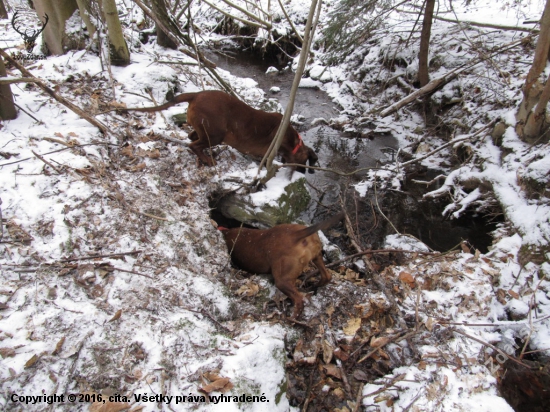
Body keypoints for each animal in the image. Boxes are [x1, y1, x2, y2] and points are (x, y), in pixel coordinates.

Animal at [121, 89, 320, 173]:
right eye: (305, 162)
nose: (302, 173)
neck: (291, 140)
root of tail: (196, 94)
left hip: (205, 130)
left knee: (191, 137)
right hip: (216, 134)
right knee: (193, 145)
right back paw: (208, 159)